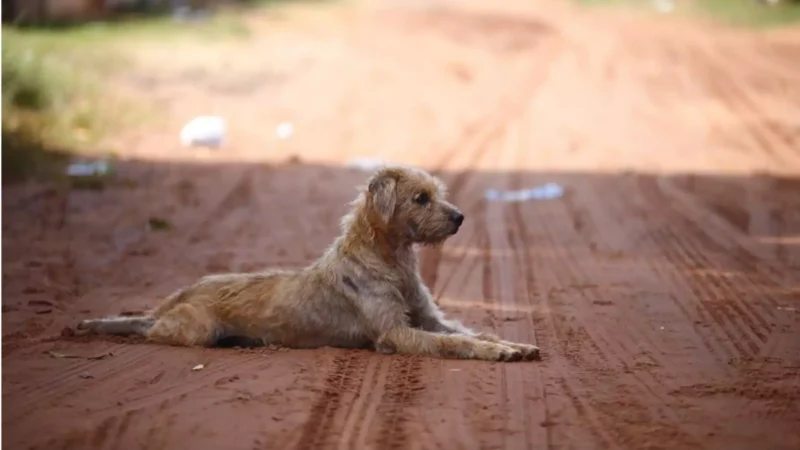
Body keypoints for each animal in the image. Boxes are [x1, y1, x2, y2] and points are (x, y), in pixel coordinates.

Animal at [78, 165, 540, 362]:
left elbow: (471, 331)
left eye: (437, 193)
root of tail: (179, 294)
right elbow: (455, 342)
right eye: (420, 198)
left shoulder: (429, 318)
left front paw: (510, 344)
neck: (391, 260)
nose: (460, 217)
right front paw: (496, 352)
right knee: (150, 331)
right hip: (195, 329)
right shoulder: (397, 333)